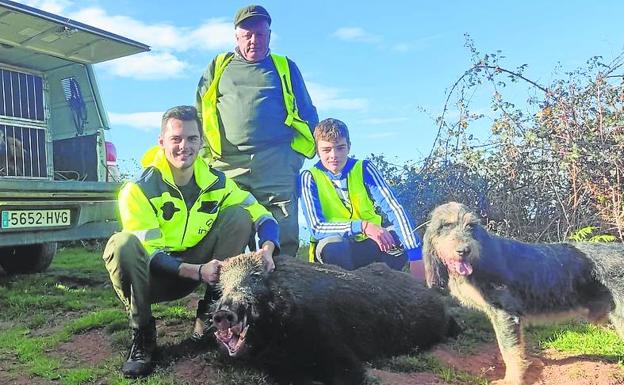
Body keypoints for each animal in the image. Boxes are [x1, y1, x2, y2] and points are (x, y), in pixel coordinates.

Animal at [424, 201, 624, 384]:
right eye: (445, 226)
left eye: (471, 225)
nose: (464, 250)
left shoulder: (505, 314)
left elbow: (509, 350)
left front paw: (511, 380)